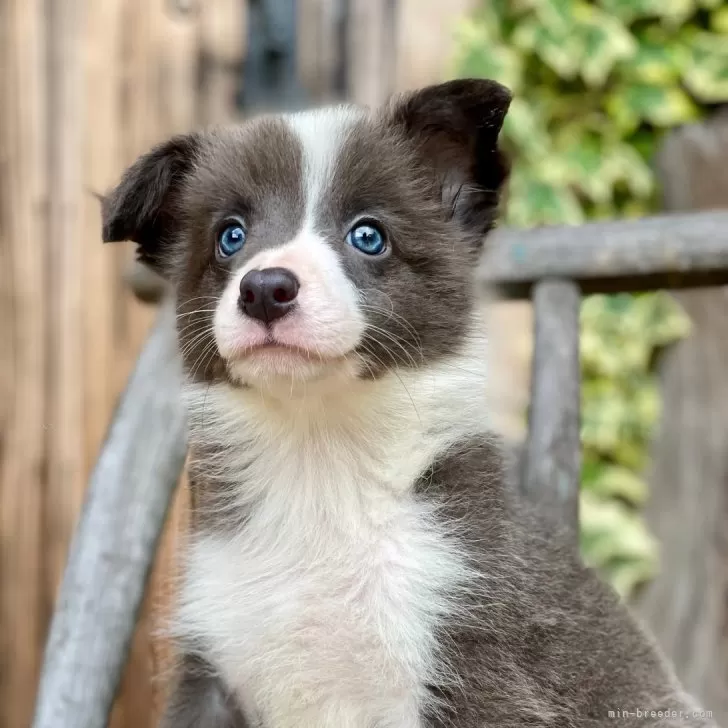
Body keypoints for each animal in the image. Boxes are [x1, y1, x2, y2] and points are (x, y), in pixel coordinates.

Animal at [102, 79, 716, 728]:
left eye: (368, 235)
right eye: (230, 236)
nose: (265, 289)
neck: (320, 457)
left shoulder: (472, 659)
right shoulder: (213, 667)